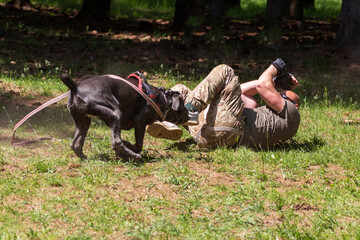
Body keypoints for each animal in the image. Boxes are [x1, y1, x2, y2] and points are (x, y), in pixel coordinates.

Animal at [60, 72, 188, 160]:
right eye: (182, 105)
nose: (188, 114)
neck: (161, 98)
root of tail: (75, 86)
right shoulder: (140, 121)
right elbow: (139, 144)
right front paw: (130, 147)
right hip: (115, 113)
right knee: (116, 142)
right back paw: (135, 156)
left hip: (83, 120)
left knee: (75, 144)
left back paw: (86, 160)